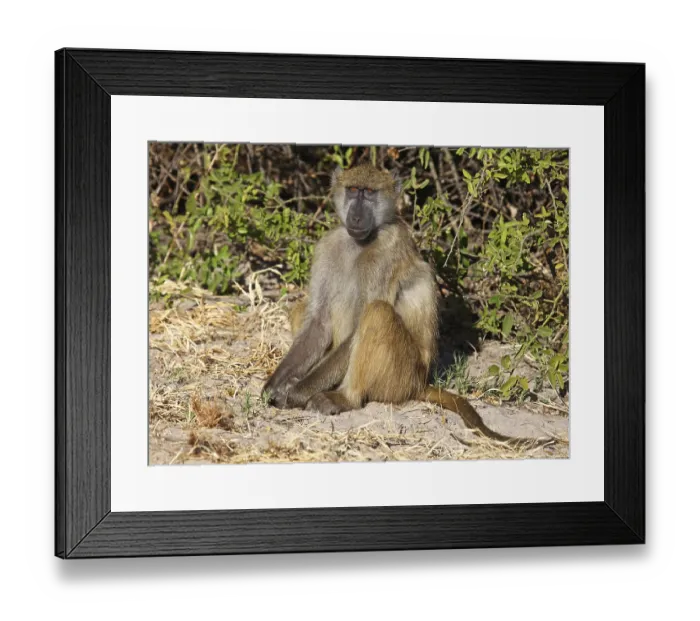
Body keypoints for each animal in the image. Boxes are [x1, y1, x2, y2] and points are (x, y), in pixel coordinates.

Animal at [262, 163, 552, 449]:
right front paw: (274, 387)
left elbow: (357, 329)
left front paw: (295, 393)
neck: (359, 243)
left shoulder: (387, 253)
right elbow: (318, 323)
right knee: (303, 310)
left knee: (377, 313)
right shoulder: (328, 246)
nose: (356, 218)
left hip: (399, 378)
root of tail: (420, 384)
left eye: (369, 193)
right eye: (353, 190)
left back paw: (343, 398)